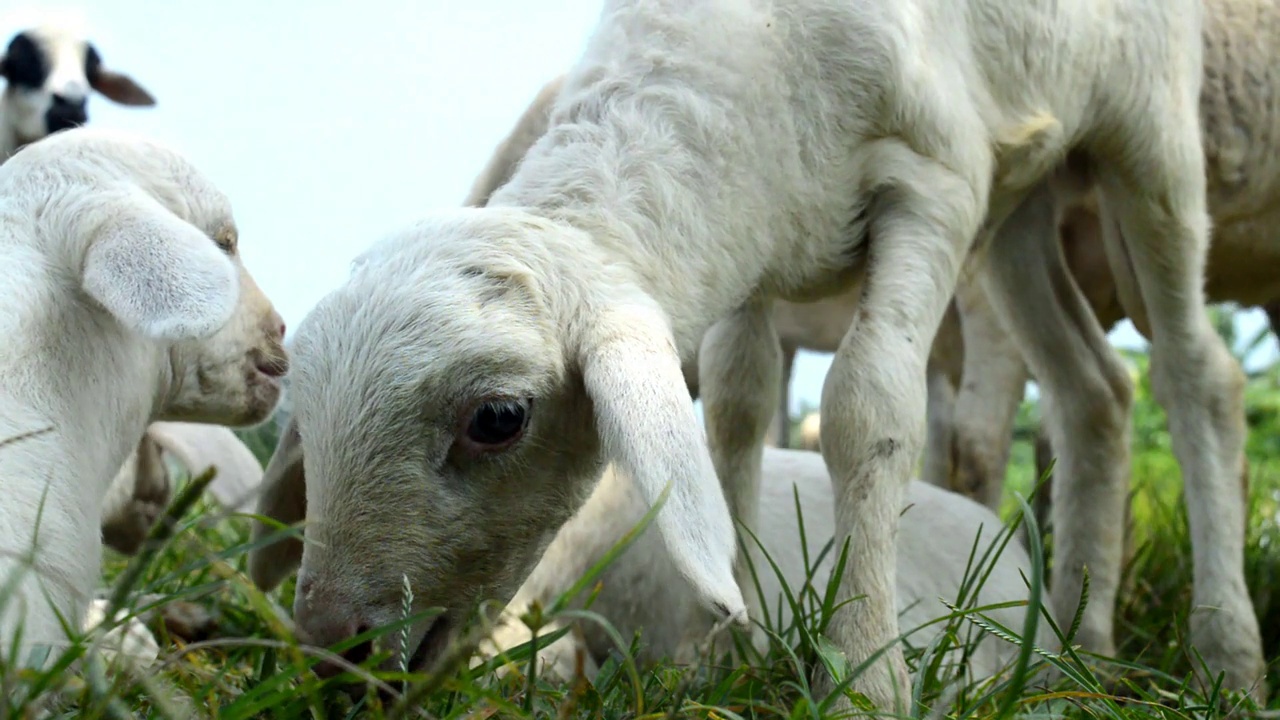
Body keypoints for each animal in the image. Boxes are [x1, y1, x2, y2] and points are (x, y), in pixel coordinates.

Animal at [244, 0, 1254, 707]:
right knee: (1095, 390)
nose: (333, 651)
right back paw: (1081, 647)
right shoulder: (740, 247)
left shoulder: (932, 186)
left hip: (1146, 136)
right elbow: (732, 412)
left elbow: (866, 407)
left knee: (1195, 374)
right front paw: (725, 654)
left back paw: (1225, 655)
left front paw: (863, 677)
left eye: (498, 419)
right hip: (1024, 199)